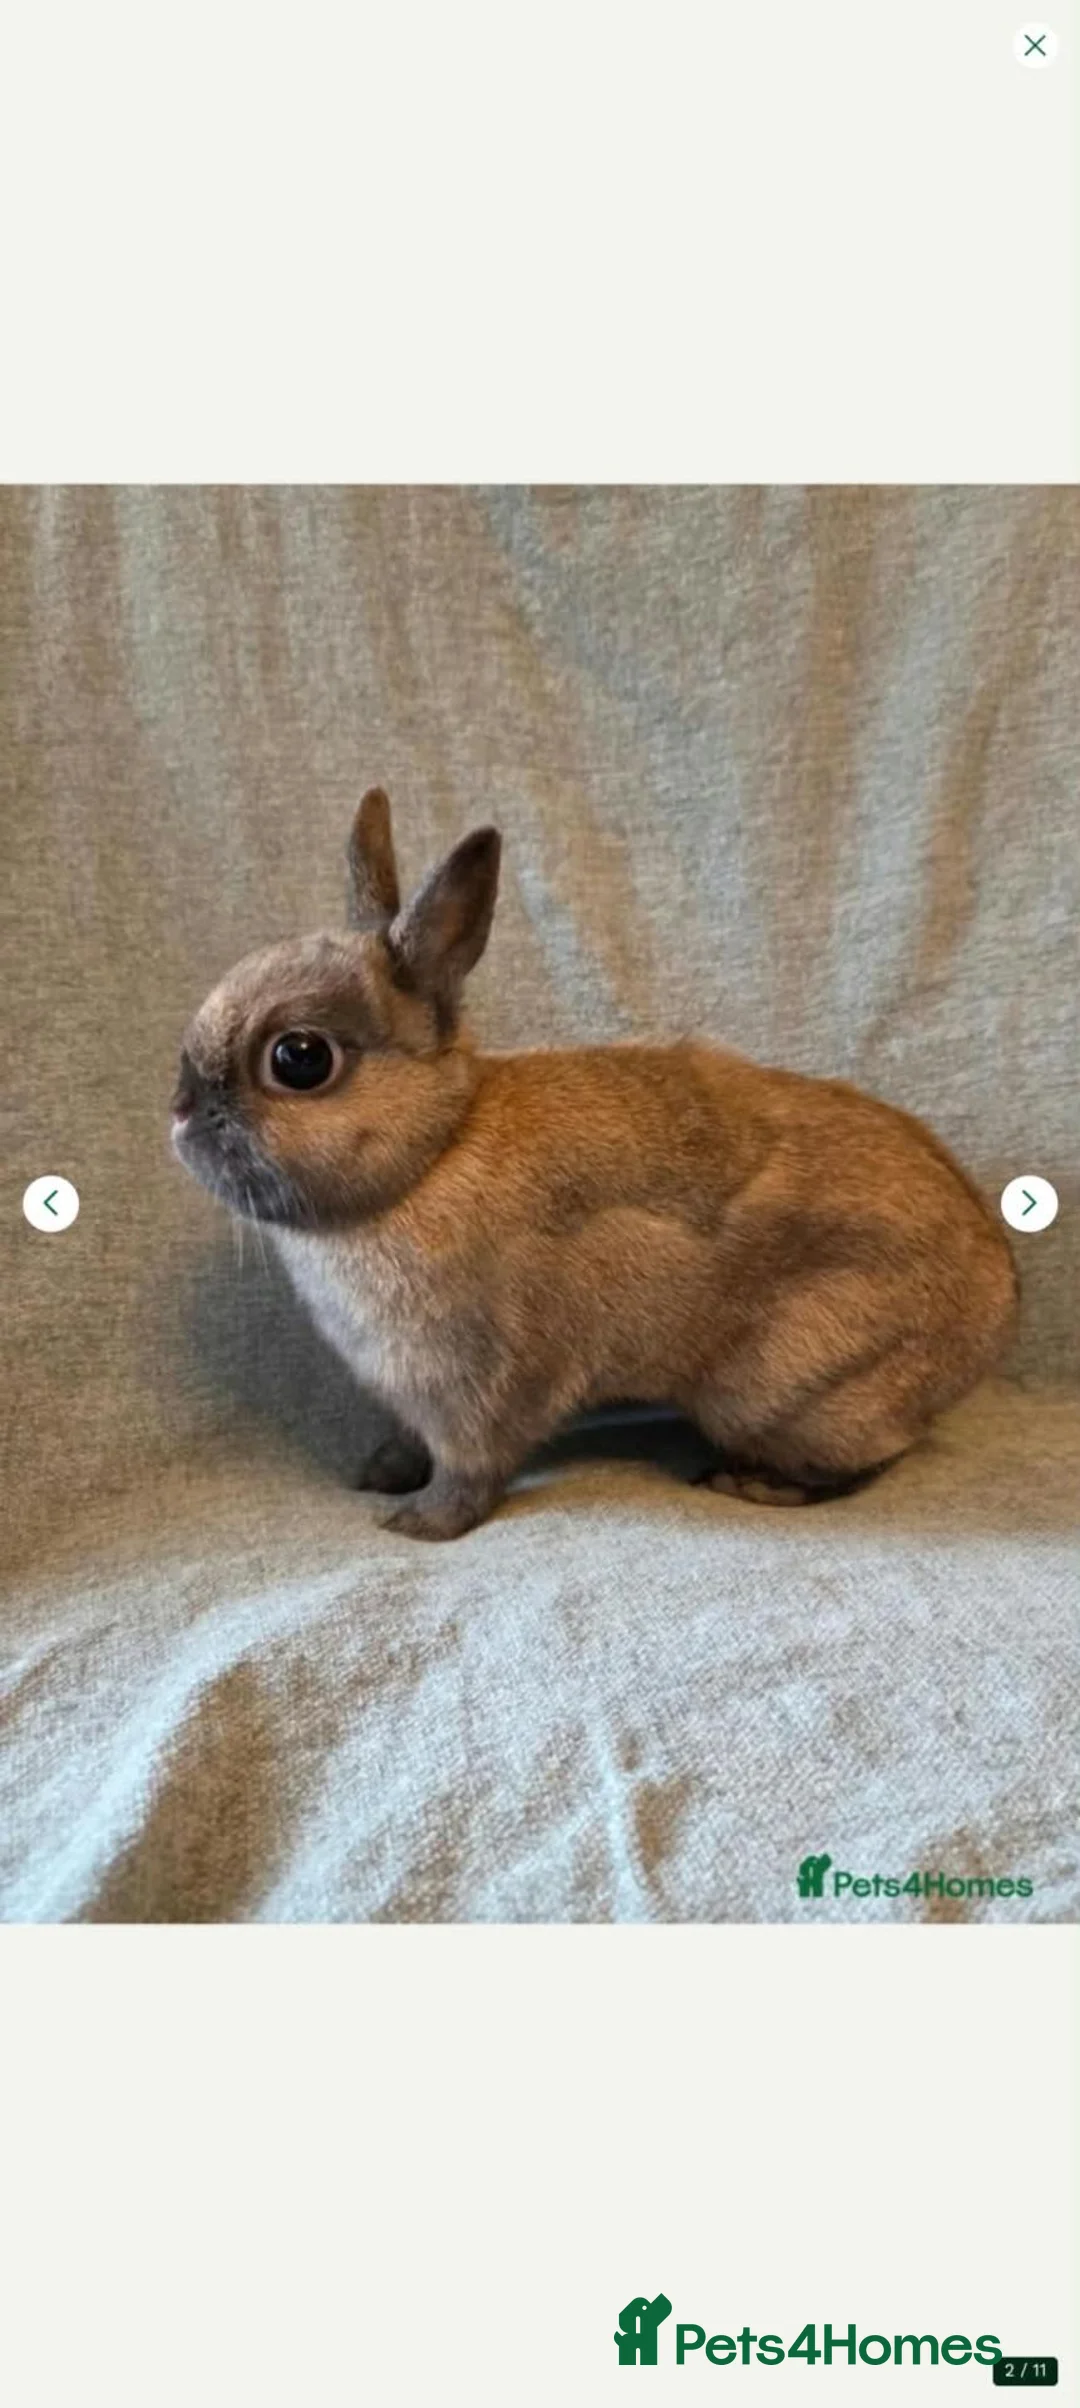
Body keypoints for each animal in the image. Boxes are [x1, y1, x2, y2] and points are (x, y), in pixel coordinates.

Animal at [171, 788, 1018, 1540]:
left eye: (300, 1059)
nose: (179, 1115)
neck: (433, 1153)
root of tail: (996, 1299)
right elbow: (415, 1443)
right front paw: (379, 1472)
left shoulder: (478, 1388)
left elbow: (471, 1470)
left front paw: (418, 1524)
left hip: (787, 1390)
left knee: (871, 1457)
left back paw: (755, 1484)